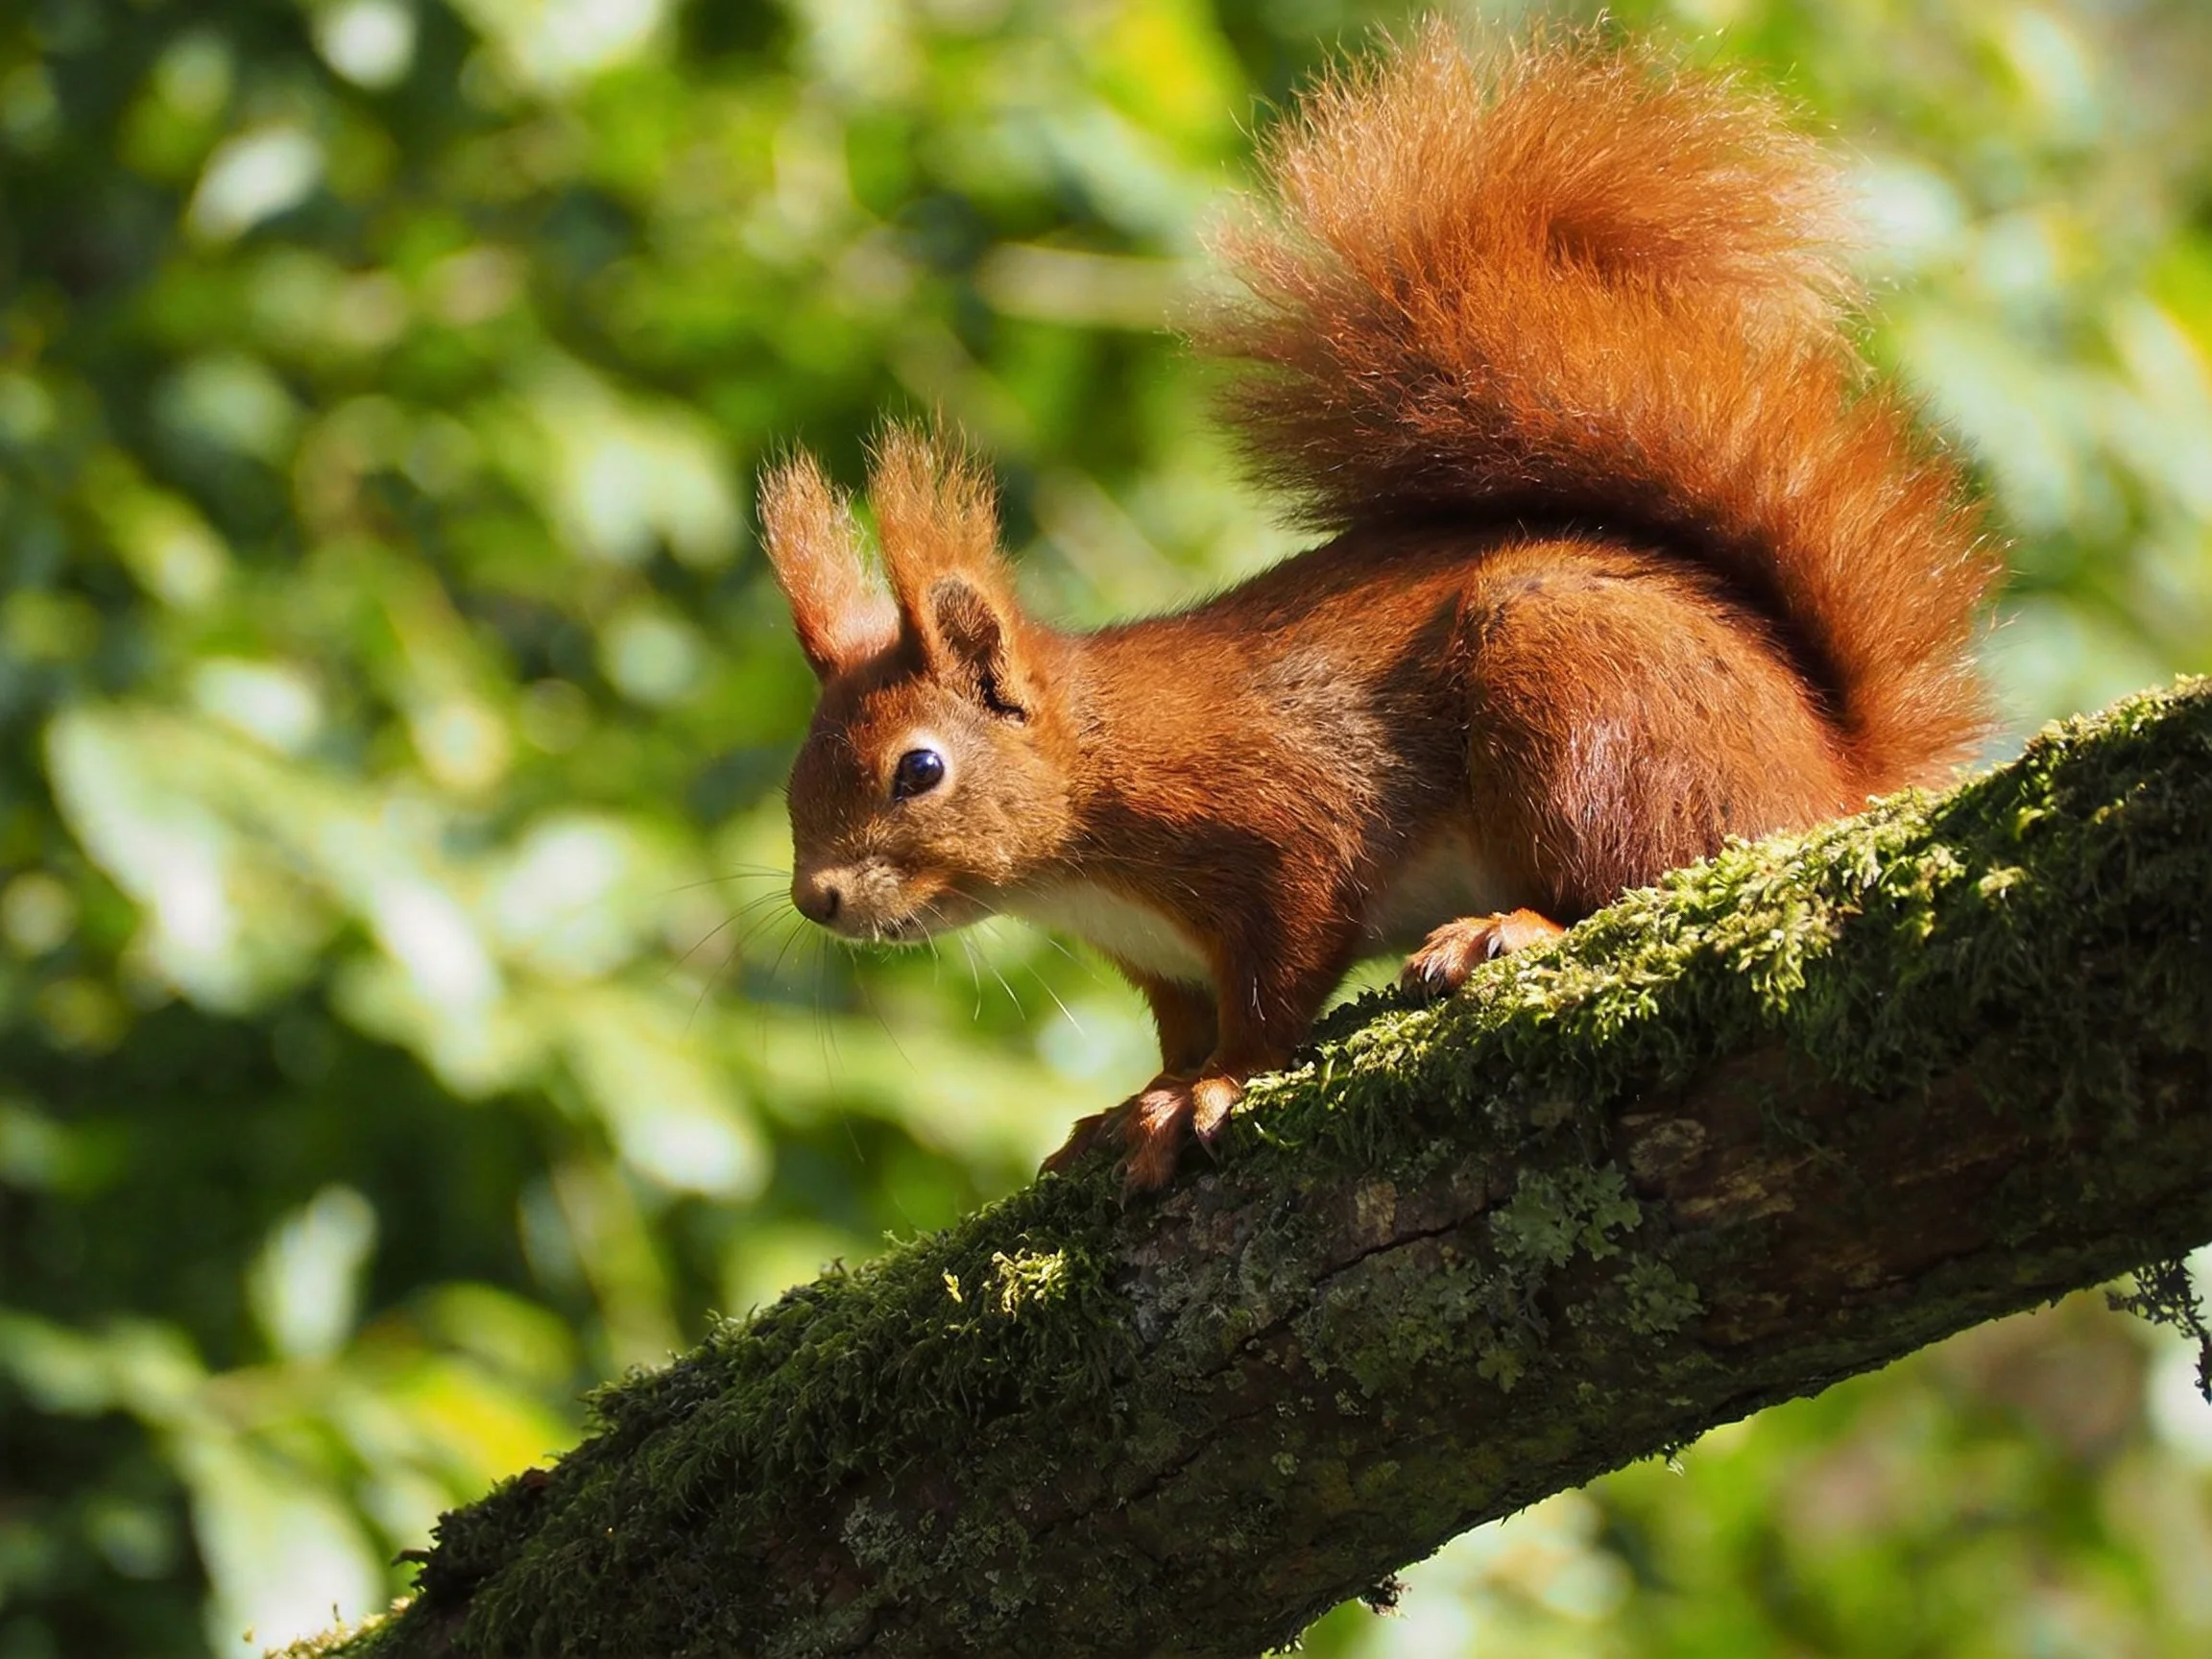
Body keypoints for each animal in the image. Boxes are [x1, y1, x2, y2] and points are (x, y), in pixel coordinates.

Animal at [758, 24, 1996, 1190]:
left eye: (919, 770)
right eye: (796, 774)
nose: (817, 899)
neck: (1089, 804)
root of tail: (1834, 776)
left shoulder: (1282, 824)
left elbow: (1275, 985)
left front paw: (1209, 1091)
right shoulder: (1162, 958)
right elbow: (1178, 1026)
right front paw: (1130, 1104)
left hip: (1582, 697)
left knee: (1632, 878)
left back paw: (1510, 927)